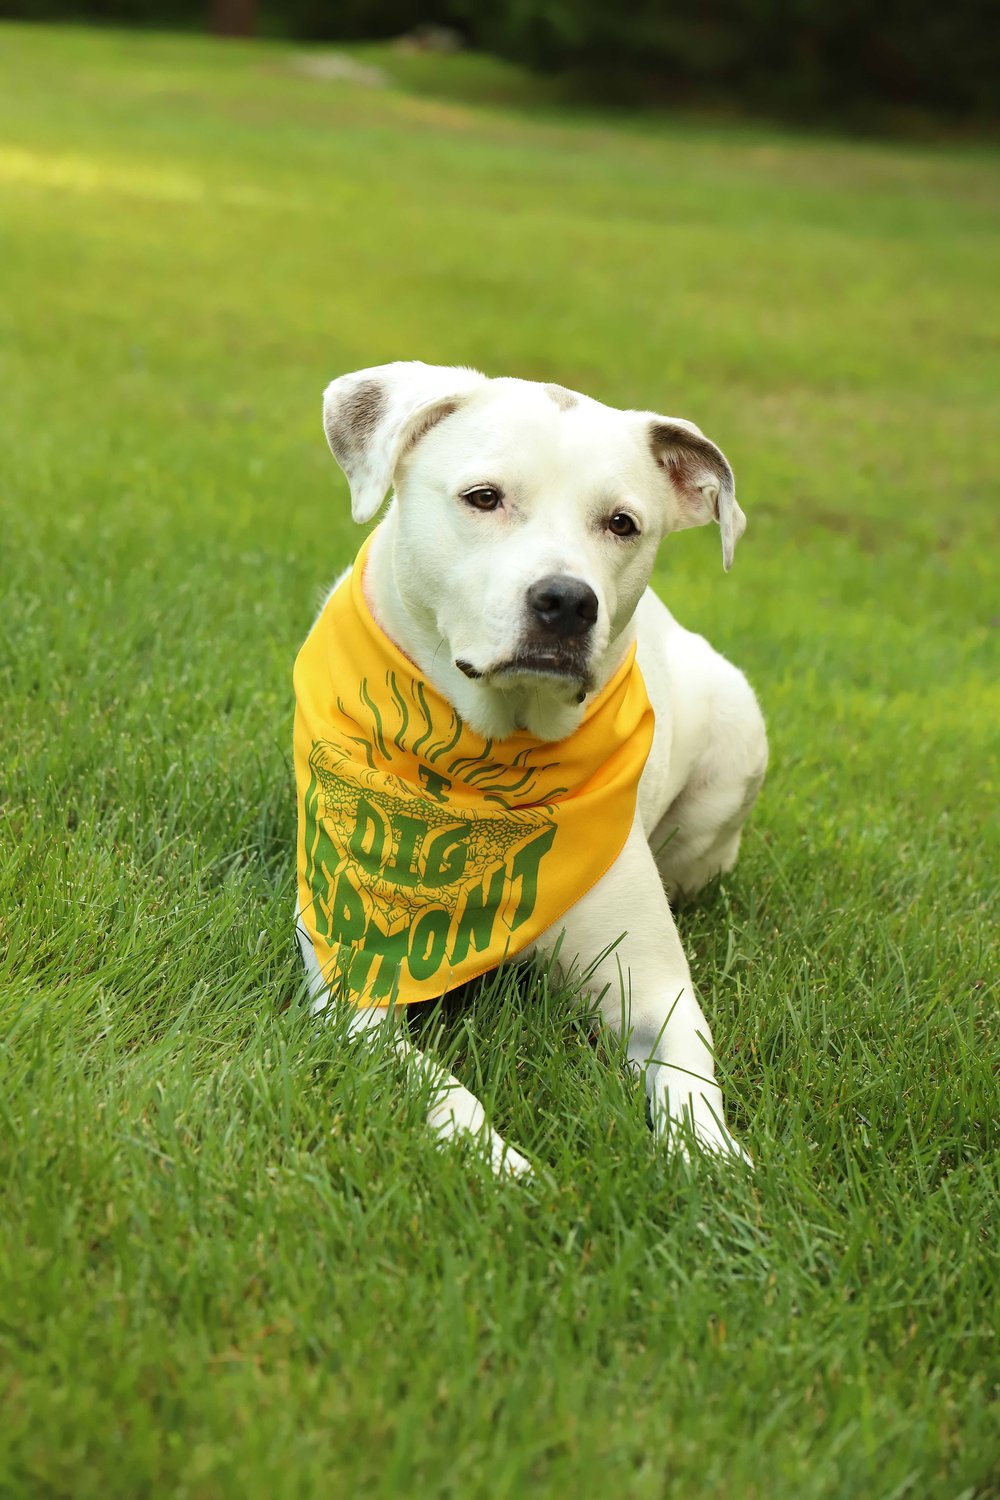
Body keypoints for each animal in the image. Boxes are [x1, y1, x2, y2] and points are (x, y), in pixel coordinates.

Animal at [293, 360, 773, 1170]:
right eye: (484, 498)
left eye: (622, 523)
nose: (568, 601)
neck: (489, 761)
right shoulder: (356, 983)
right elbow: (441, 1090)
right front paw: (497, 1162)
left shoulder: (657, 992)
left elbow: (690, 1084)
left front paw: (714, 1160)